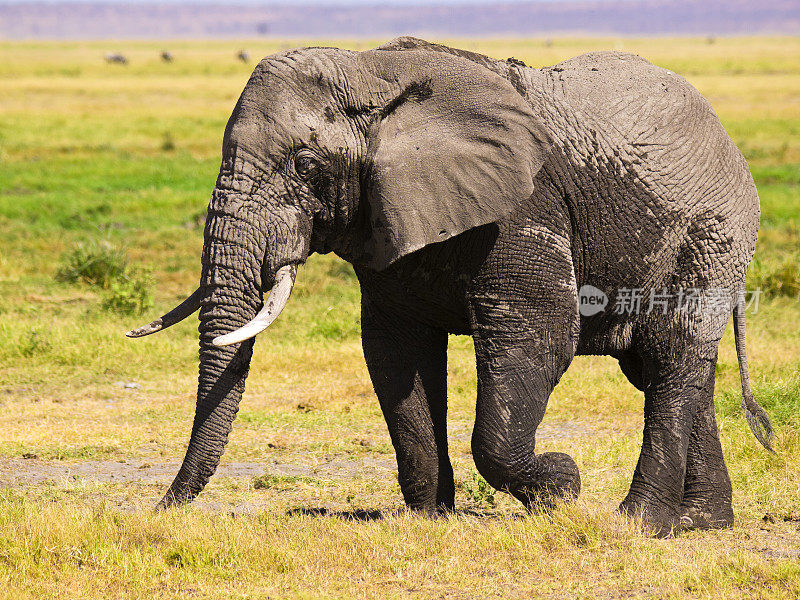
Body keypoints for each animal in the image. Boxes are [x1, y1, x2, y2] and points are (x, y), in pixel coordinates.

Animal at [126, 36, 776, 536]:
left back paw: (637, 524)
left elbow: (537, 336)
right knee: (669, 367)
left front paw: (563, 486)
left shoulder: (522, 208)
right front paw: (429, 519)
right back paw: (700, 524)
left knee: (672, 358)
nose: (160, 509)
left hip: (712, 235)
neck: (371, 71)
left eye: (306, 165)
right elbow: (396, 352)